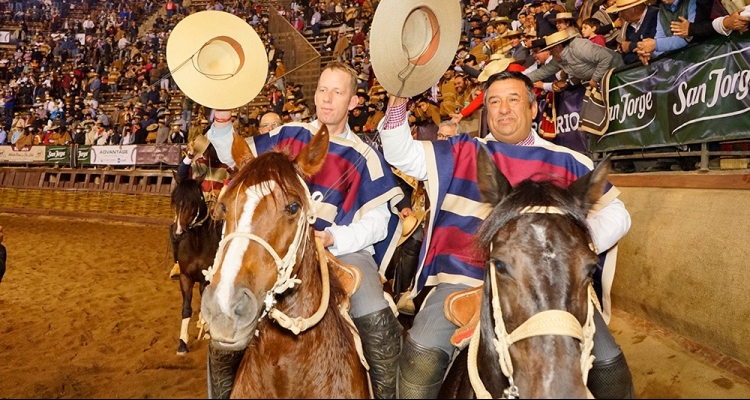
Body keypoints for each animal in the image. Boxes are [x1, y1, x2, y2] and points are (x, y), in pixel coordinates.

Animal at [173, 178, 223, 356]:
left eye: (194, 202)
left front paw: (208, 332)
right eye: (175, 201)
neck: (197, 244)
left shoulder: (206, 280)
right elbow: (186, 309)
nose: (178, 233)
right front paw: (182, 343)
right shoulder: (185, 277)